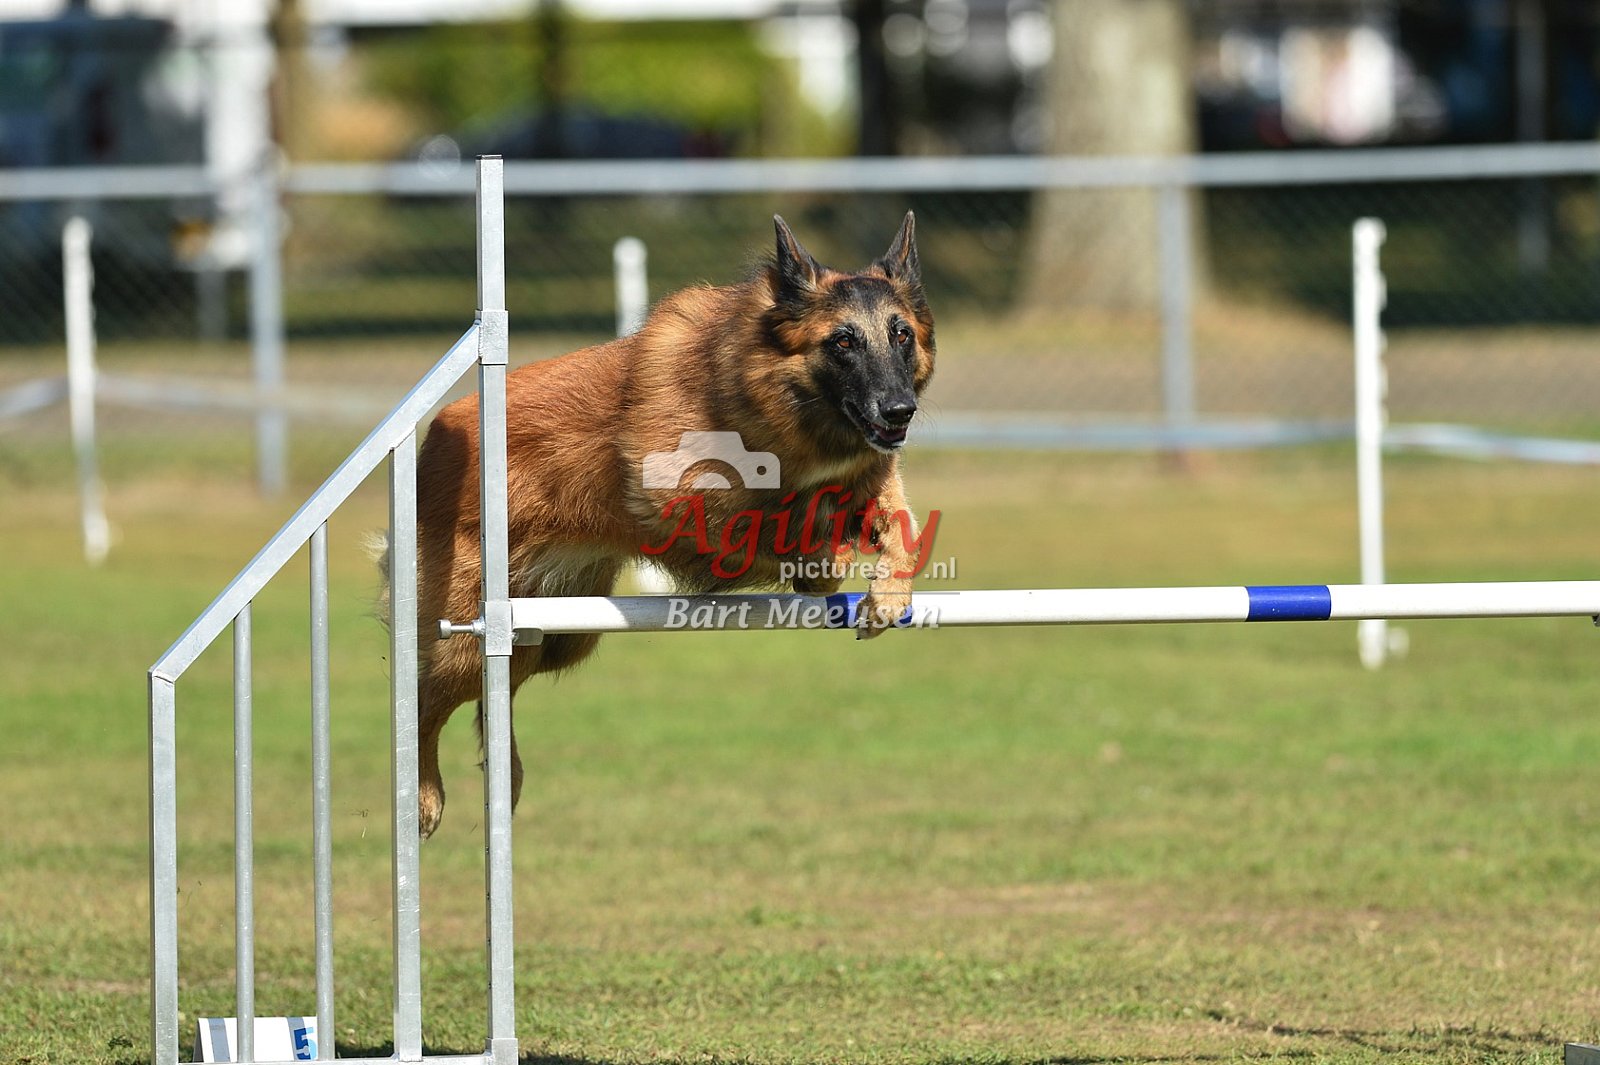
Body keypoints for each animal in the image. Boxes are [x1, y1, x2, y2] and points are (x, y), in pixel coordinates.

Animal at [404, 212, 936, 837]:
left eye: (901, 336)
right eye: (843, 341)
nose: (900, 411)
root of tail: (439, 432)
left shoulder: (869, 474)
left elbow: (898, 523)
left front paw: (886, 595)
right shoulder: (683, 500)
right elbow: (776, 528)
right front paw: (824, 564)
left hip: (553, 634)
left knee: (497, 696)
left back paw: (503, 778)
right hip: (473, 638)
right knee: (424, 699)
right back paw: (423, 797)